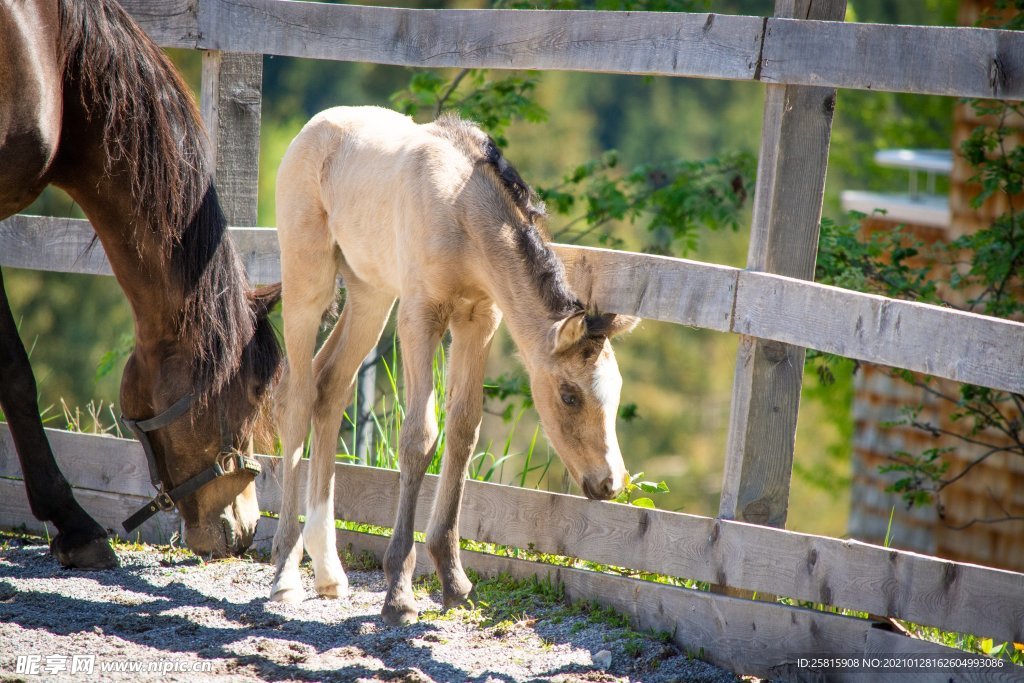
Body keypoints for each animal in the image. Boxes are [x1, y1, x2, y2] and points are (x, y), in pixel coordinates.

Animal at [270, 107, 638, 626]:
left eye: (617, 392)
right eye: (569, 395)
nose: (609, 483)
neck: (461, 207)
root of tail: (313, 127)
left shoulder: (478, 318)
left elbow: (463, 430)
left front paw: (453, 579)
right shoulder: (419, 316)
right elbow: (420, 437)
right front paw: (398, 593)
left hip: (370, 292)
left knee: (330, 388)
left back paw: (328, 574)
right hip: (309, 279)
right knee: (298, 399)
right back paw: (285, 574)